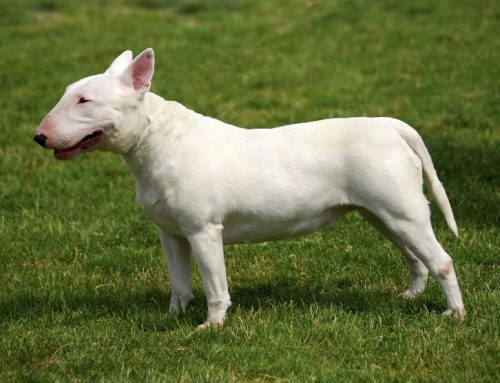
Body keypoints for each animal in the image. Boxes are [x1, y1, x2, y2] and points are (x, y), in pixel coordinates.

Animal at [34, 49, 464, 328]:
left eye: (84, 100)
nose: (39, 137)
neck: (158, 140)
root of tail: (390, 125)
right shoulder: (171, 233)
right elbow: (179, 283)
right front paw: (172, 318)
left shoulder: (204, 231)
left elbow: (214, 285)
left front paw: (211, 326)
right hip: (382, 214)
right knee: (415, 257)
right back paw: (409, 296)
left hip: (402, 212)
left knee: (441, 260)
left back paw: (454, 315)